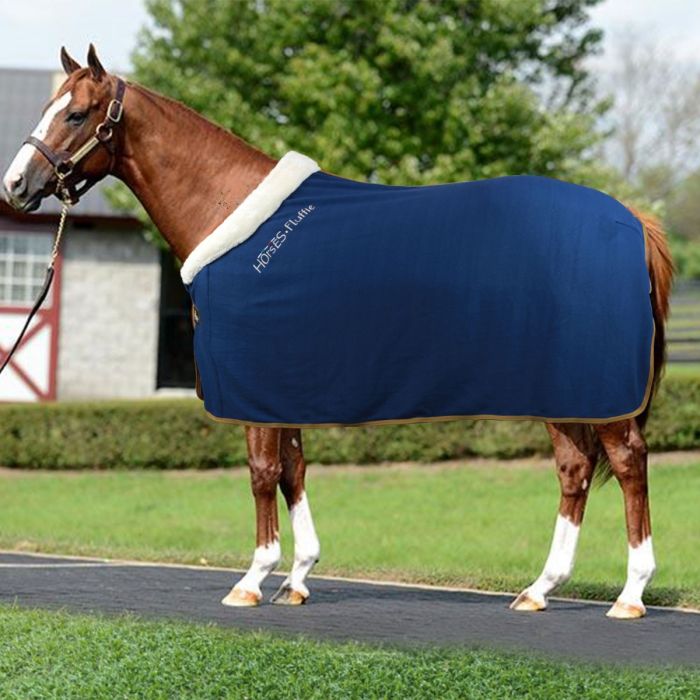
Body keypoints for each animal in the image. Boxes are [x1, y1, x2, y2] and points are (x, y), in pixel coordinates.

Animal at [2, 46, 673, 619]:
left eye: (78, 113)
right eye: (49, 108)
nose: (14, 186)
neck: (231, 210)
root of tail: (631, 220)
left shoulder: (252, 379)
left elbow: (262, 471)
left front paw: (253, 580)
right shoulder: (280, 384)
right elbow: (294, 470)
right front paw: (297, 579)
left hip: (593, 387)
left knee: (627, 462)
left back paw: (631, 594)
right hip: (564, 387)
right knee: (575, 468)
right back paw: (540, 589)